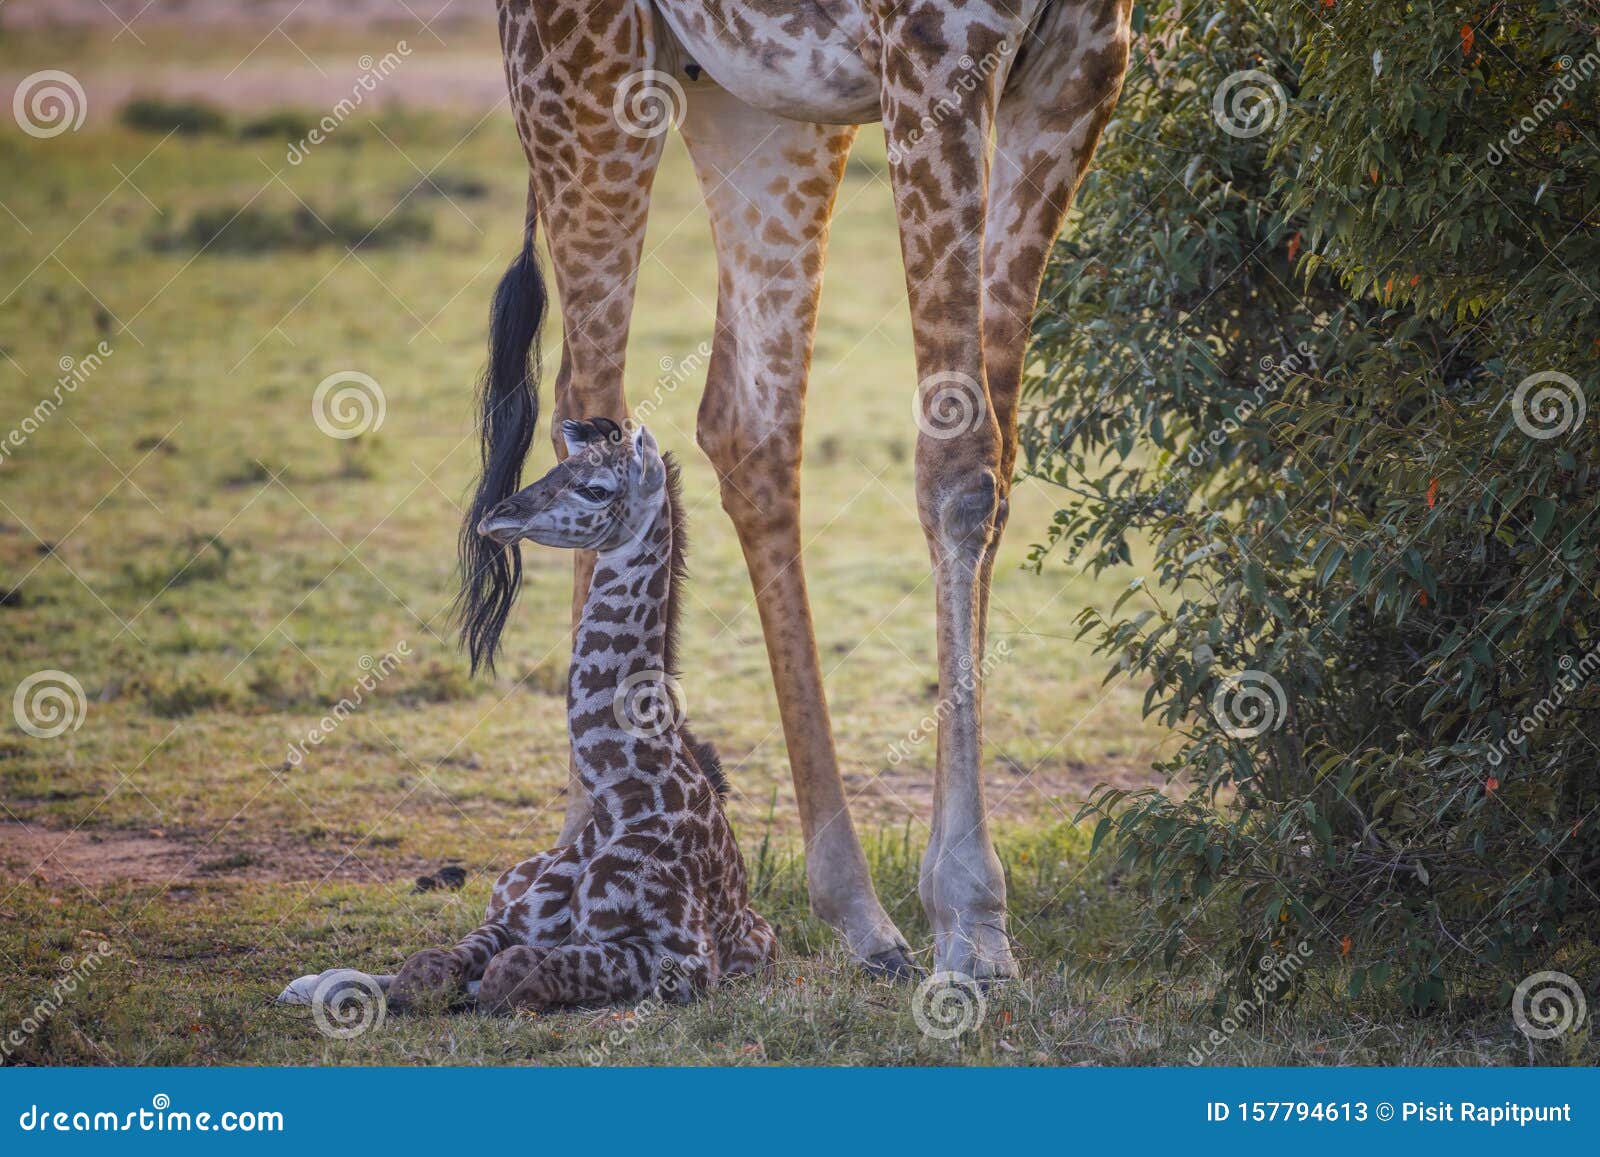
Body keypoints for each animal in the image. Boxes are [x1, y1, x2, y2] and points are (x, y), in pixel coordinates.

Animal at [393, 419, 780, 1011]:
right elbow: (425, 968)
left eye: (595, 489)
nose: (497, 515)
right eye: (556, 467)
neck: (621, 797)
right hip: (508, 879)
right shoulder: (514, 919)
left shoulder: (686, 959)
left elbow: (514, 971)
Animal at [460, 0, 1139, 979]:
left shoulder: (1080, 72)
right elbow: (959, 470)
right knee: (588, 397)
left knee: (748, 421)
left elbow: (997, 466)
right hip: (583, 77)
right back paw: (592, 841)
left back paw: (858, 912)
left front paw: (967, 913)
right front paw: (971, 914)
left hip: (762, 110)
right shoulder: (934, 52)